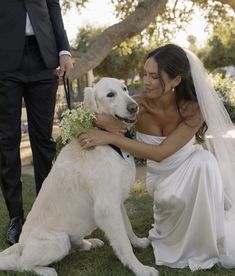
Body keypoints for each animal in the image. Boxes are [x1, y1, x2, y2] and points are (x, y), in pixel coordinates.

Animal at [0, 77, 159, 276]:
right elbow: (123, 243)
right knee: (23, 263)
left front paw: (138, 242)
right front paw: (140, 268)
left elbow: (128, 228)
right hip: (58, 241)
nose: (134, 107)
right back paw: (45, 270)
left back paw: (89, 243)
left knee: (73, 245)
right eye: (110, 94)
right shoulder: (107, 207)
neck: (107, 140)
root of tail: (20, 245)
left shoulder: (116, 201)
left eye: (124, 89)